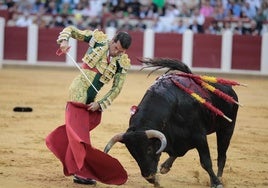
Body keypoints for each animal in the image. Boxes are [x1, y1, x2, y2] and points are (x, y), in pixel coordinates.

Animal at [104, 58, 239, 187]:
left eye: (149, 149)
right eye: (132, 152)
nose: (149, 176)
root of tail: (230, 90)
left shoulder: (199, 136)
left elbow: (205, 162)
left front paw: (216, 183)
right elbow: (178, 152)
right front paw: (158, 178)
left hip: (227, 128)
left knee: (222, 155)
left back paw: (219, 178)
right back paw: (165, 167)